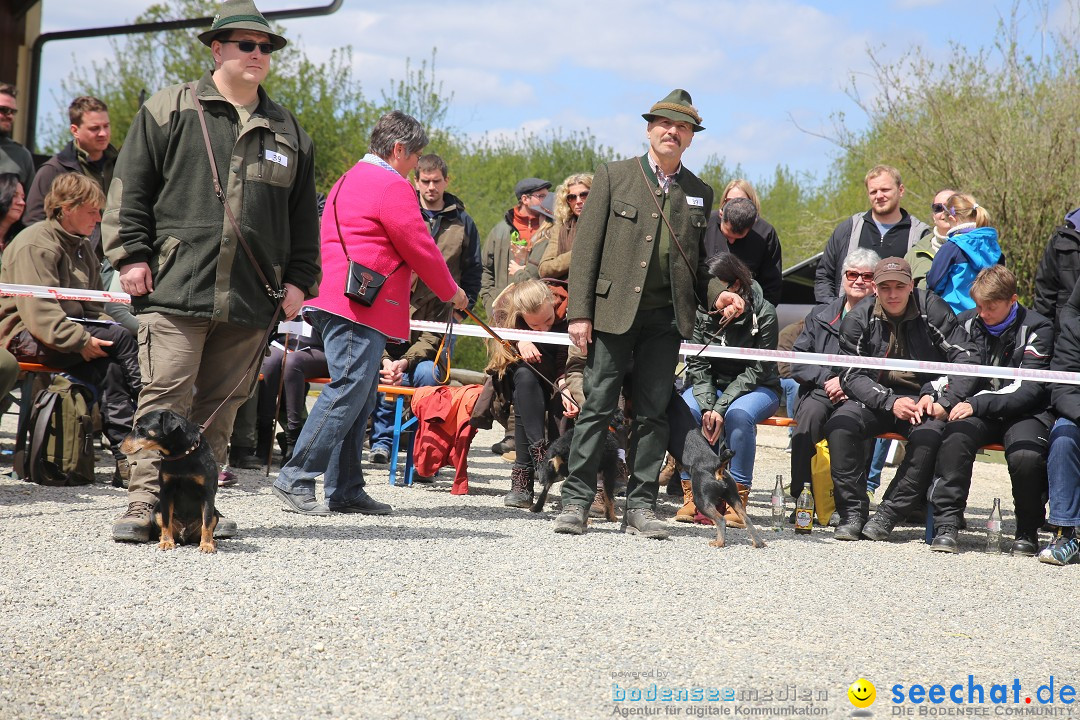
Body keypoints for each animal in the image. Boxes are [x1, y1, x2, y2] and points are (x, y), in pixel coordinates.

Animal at [120, 408, 219, 557]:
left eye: (139, 427)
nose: (119, 446)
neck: (182, 454)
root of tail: (185, 535)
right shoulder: (166, 491)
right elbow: (167, 520)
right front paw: (166, 542)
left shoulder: (207, 493)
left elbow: (206, 522)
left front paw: (207, 545)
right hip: (156, 512)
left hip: (216, 514)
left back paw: (212, 541)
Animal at [665, 390, 768, 548]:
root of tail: (717, 464)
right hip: (733, 497)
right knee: (746, 519)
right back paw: (758, 543)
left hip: (702, 499)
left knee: (720, 520)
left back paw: (719, 542)